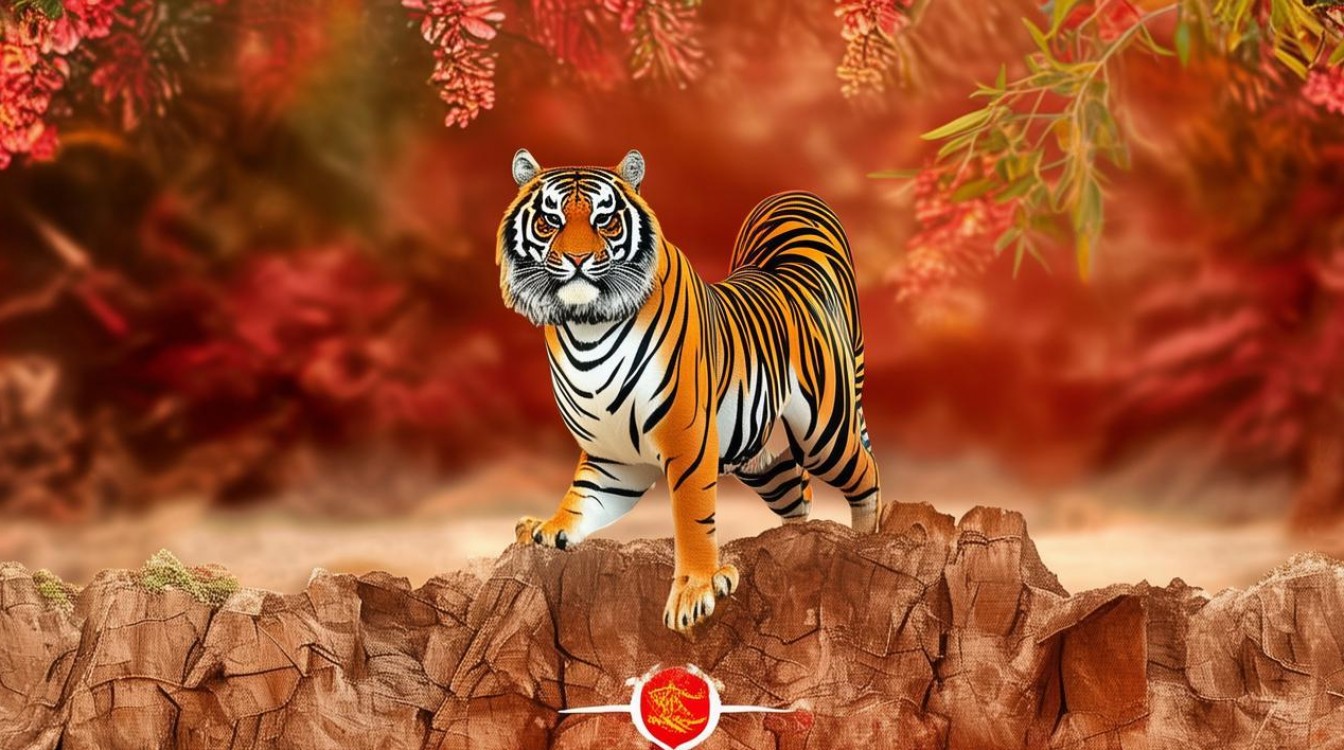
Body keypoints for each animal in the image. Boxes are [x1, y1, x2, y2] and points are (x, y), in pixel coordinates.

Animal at [497, 149, 880, 632]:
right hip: (765, 460)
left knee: (866, 474)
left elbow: (693, 518)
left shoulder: (689, 442)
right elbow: (582, 498)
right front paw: (546, 529)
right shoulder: (613, 459)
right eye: (550, 220)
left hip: (825, 436)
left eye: (606, 220)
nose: (579, 259)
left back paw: (867, 542)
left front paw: (694, 592)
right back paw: (795, 542)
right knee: (800, 495)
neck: (585, 330)